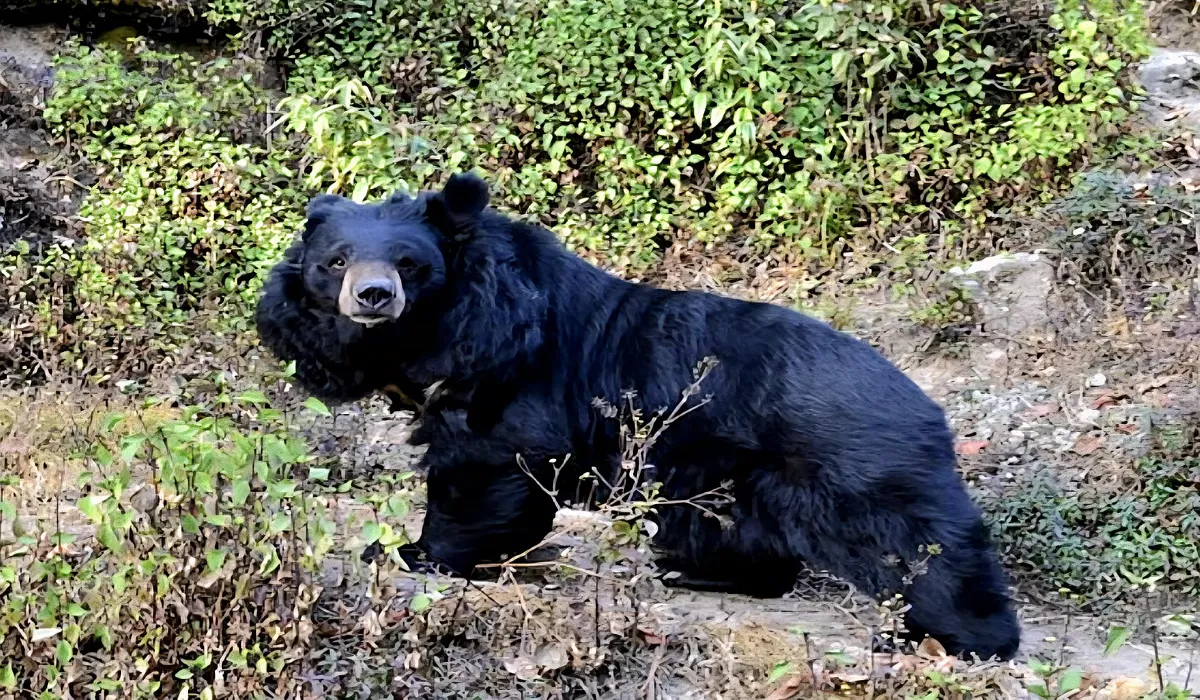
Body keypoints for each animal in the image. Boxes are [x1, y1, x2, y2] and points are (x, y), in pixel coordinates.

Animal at [255, 173, 1021, 661]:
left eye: (410, 264)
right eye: (335, 261)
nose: (373, 296)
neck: (432, 333)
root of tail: (927, 404)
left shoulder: (510, 369)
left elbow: (486, 462)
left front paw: (415, 552)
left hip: (855, 467)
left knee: (921, 549)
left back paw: (960, 639)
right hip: (734, 476)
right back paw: (696, 574)